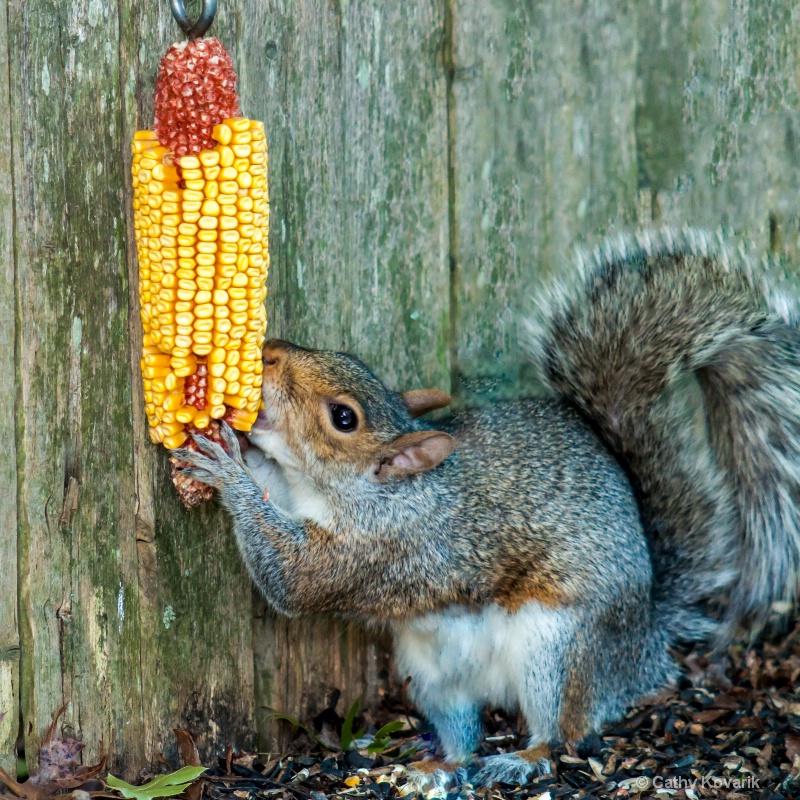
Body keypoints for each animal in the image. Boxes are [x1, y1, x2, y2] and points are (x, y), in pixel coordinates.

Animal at [175, 228, 800, 784]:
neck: (361, 491)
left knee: (562, 733)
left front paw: (226, 468)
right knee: (462, 730)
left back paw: (522, 759)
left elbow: (290, 580)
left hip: (558, 649)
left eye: (343, 417)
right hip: (432, 675)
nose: (269, 352)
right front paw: (237, 451)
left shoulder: (376, 548)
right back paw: (437, 765)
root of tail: (642, 644)